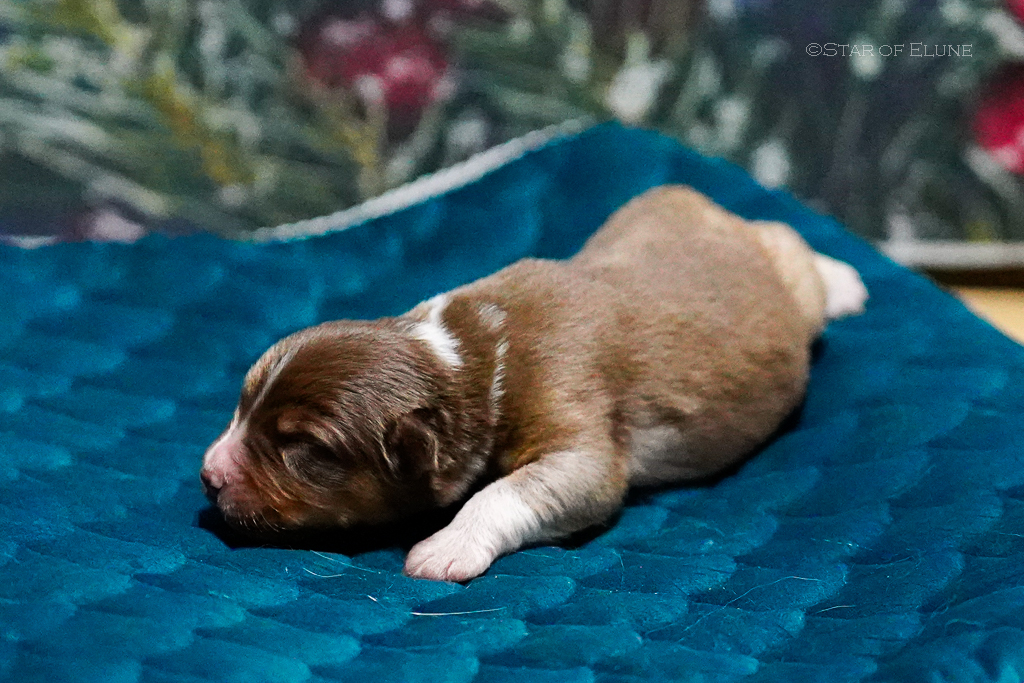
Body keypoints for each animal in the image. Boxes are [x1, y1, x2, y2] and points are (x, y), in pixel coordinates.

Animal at [200, 185, 868, 581]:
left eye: (303, 448)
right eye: (240, 406)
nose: (208, 475)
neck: (470, 354)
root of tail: (693, 195)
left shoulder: (575, 417)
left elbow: (516, 490)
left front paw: (446, 548)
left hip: (787, 283)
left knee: (789, 242)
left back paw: (845, 280)